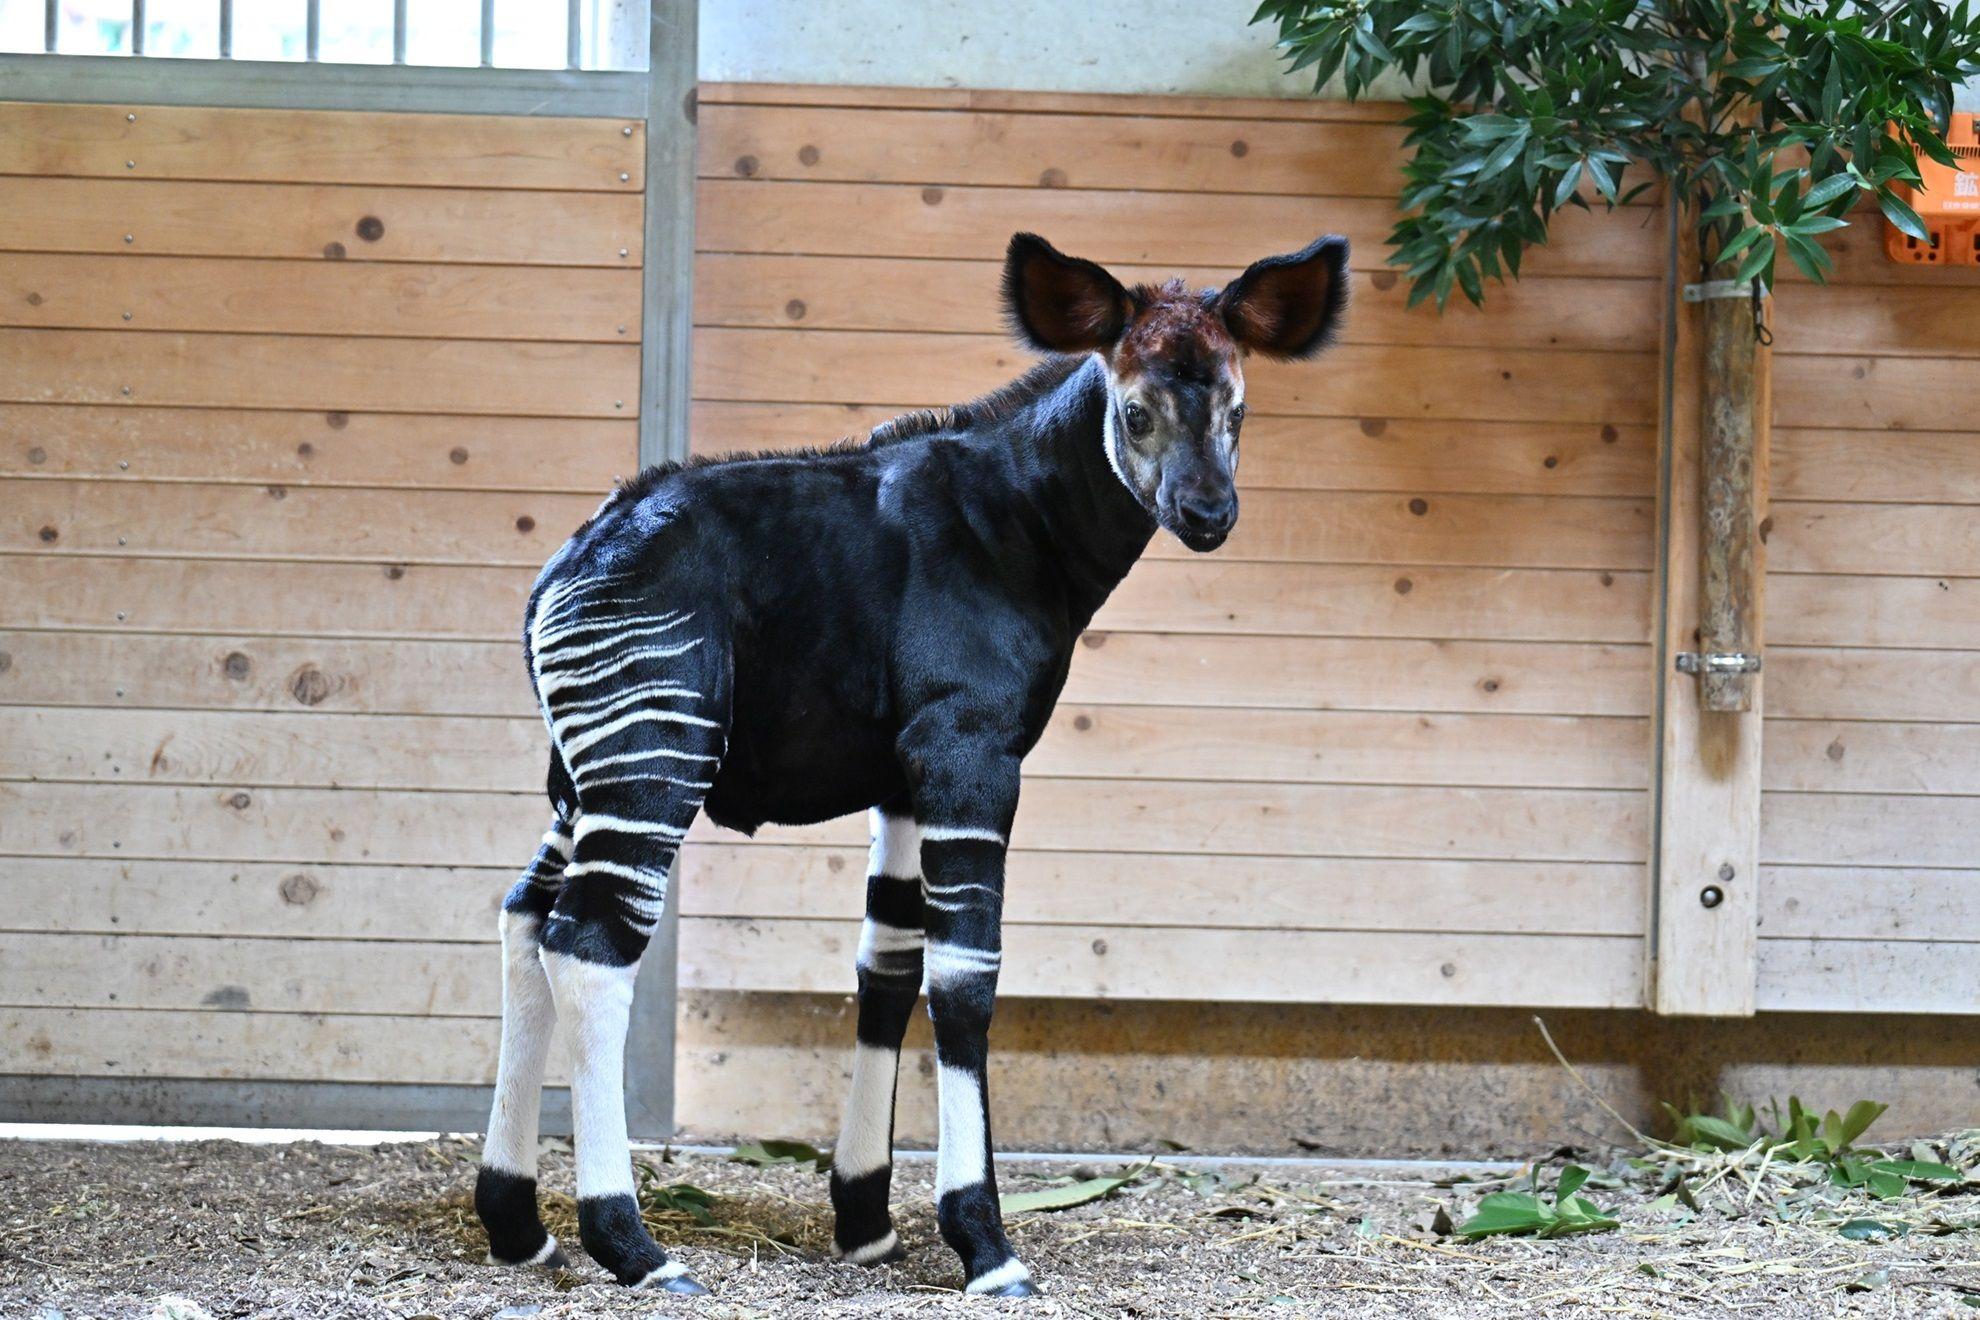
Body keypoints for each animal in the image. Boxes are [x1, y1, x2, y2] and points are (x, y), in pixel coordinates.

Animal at [471, 229, 1354, 1298]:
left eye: (1239, 409)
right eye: (1136, 410)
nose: (1209, 512)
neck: (1024, 527)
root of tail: (564, 571)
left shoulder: (901, 781)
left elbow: (886, 965)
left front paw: (865, 1219)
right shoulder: (968, 749)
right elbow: (966, 976)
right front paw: (985, 1241)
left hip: (579, 774)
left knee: (527, 919)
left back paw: (518, 1224)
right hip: (654, 756)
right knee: (590, 941)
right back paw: (634, 1245)